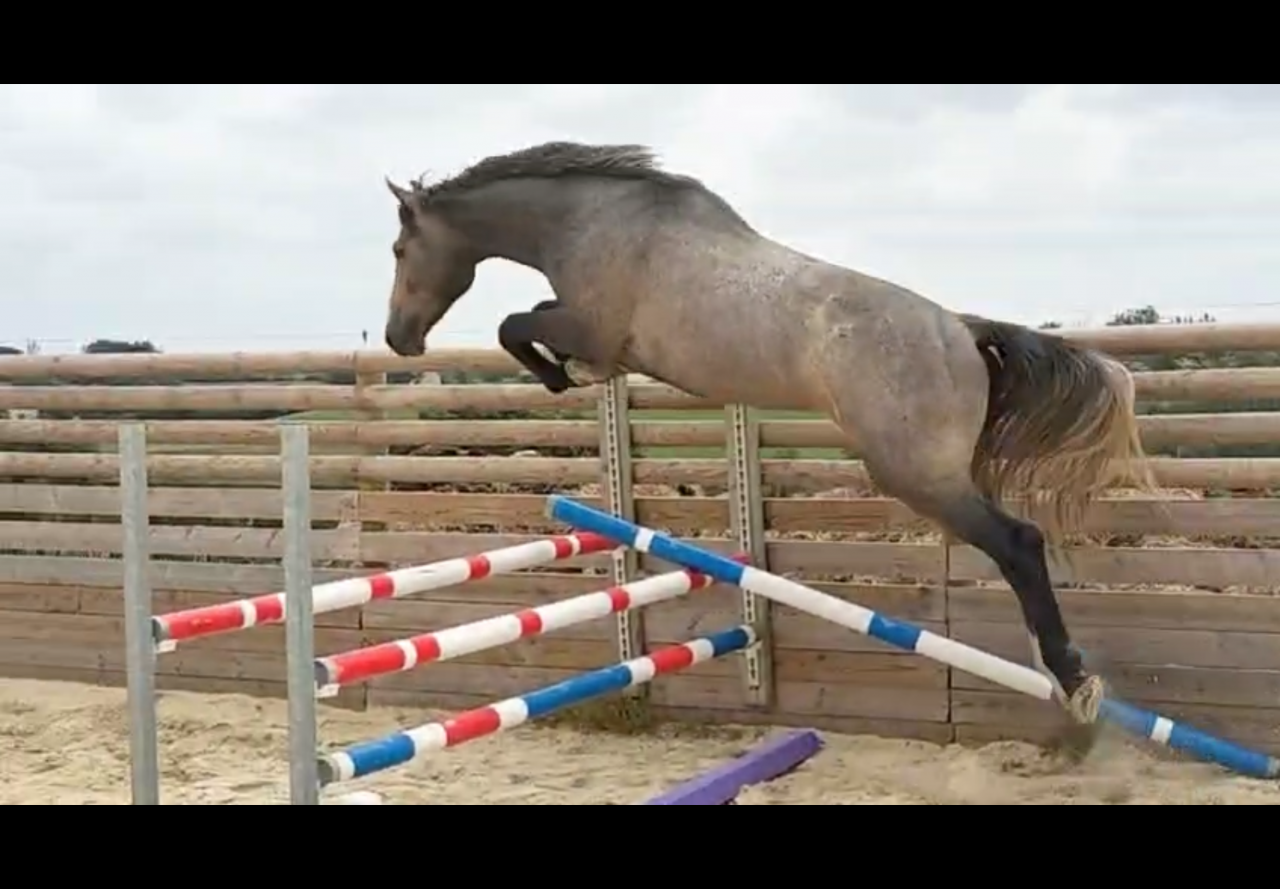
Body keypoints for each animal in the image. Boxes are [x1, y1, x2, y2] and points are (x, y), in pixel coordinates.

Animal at [381, 141, 1154, 726]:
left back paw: (1073, 678)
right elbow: (527, 319)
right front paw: (559, 375)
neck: (593, 221)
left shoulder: (592, 328)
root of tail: (962, 333)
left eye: (397, 247)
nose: (397, 339)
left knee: (1019, 543)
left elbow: (516, 324)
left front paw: (558, 376)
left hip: (916, 474)